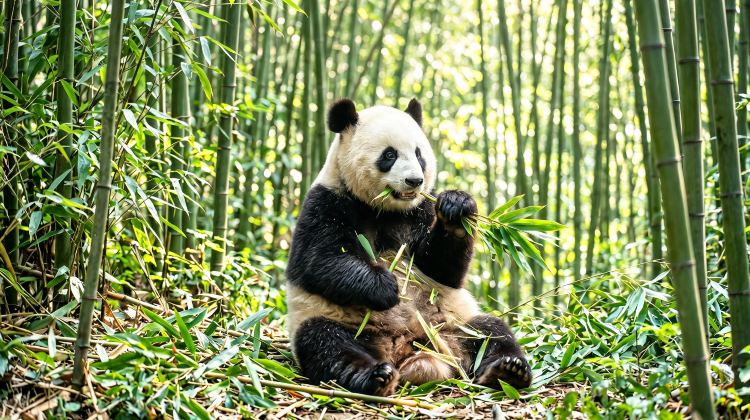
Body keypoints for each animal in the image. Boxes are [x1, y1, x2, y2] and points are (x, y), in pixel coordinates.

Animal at [286, 98, 532, 396]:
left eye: (419, 154)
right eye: (389, 155)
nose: (415, 181)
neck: (384, 209)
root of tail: (406, 349)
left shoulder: (420, 210)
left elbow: (443, 269)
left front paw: (457, 207)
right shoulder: (327, 202)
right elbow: (321, 260)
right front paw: (386, 287)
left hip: (452, 326)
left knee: (490, 331)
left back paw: (508, 370)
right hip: (346, 325)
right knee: (326, 342)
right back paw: (374, 376)